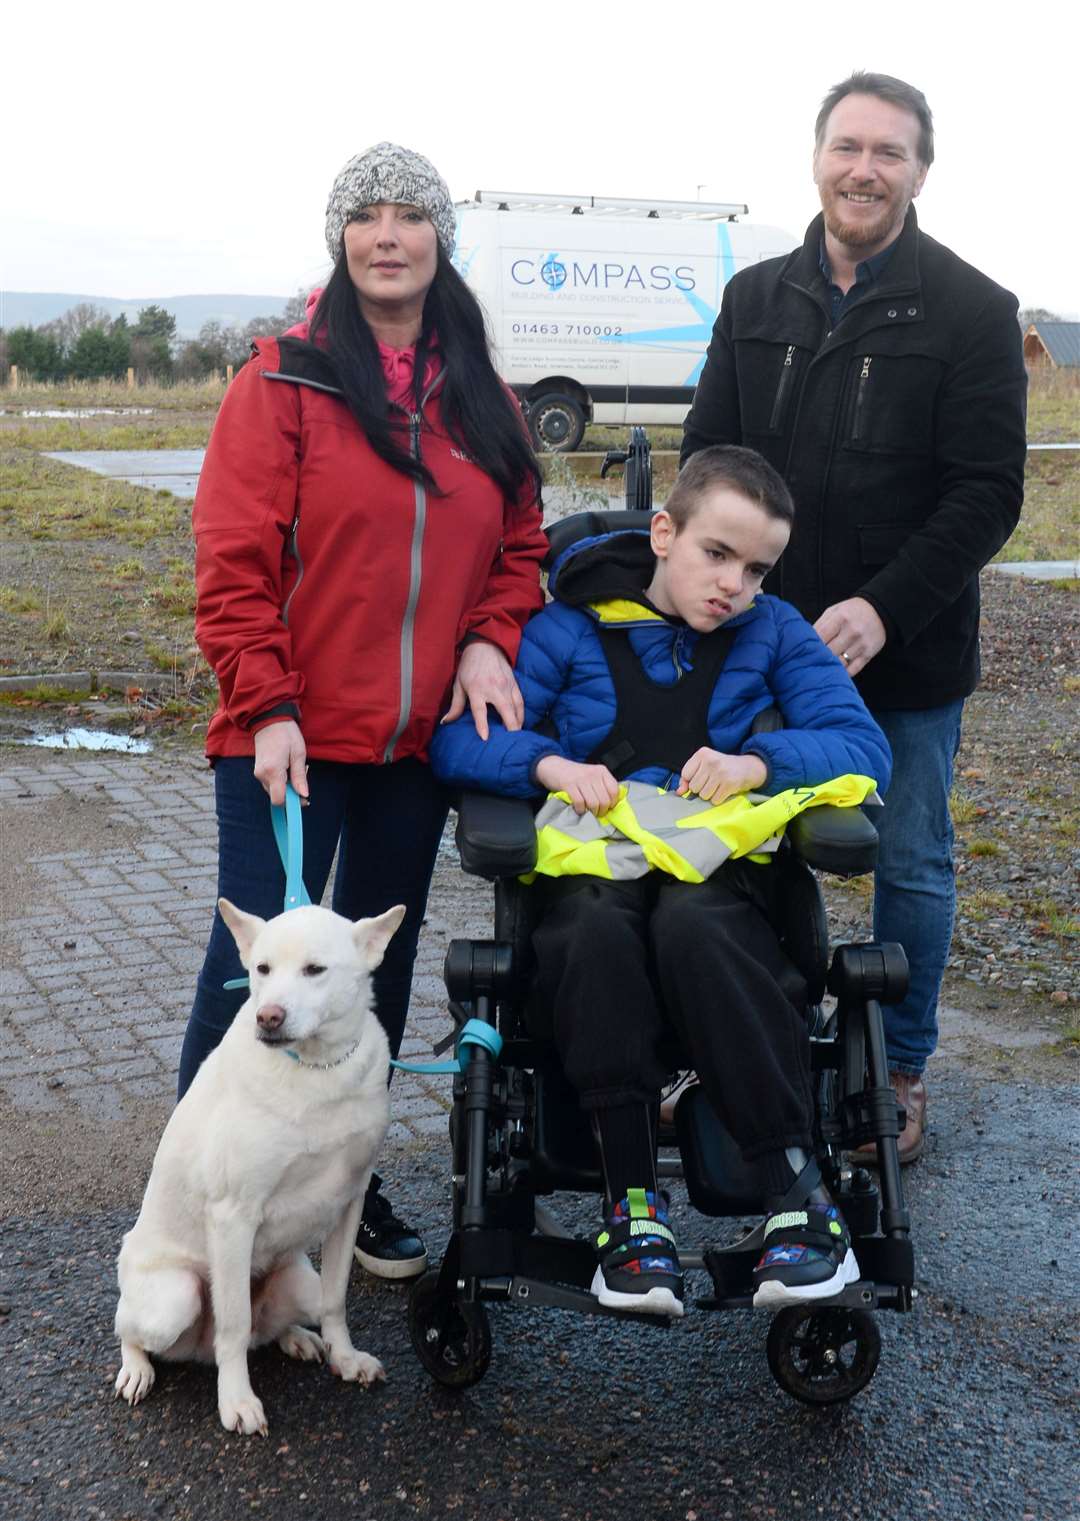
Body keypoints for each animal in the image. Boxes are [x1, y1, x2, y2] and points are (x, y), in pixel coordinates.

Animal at [113, 894, 407, 1429]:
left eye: (315, 969)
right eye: (262, 969)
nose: (267, 1017)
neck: (316, 1072)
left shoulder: (350, 1203)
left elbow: (336, 1299)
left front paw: (345, 1357)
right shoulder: (233, 1218)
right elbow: (233, 1323)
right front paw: (236, 1400)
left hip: (299, 1280)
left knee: (271, 1326)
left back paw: (300, 1339)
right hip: (175, 1296)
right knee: (133, 1328)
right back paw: (136, 1369)